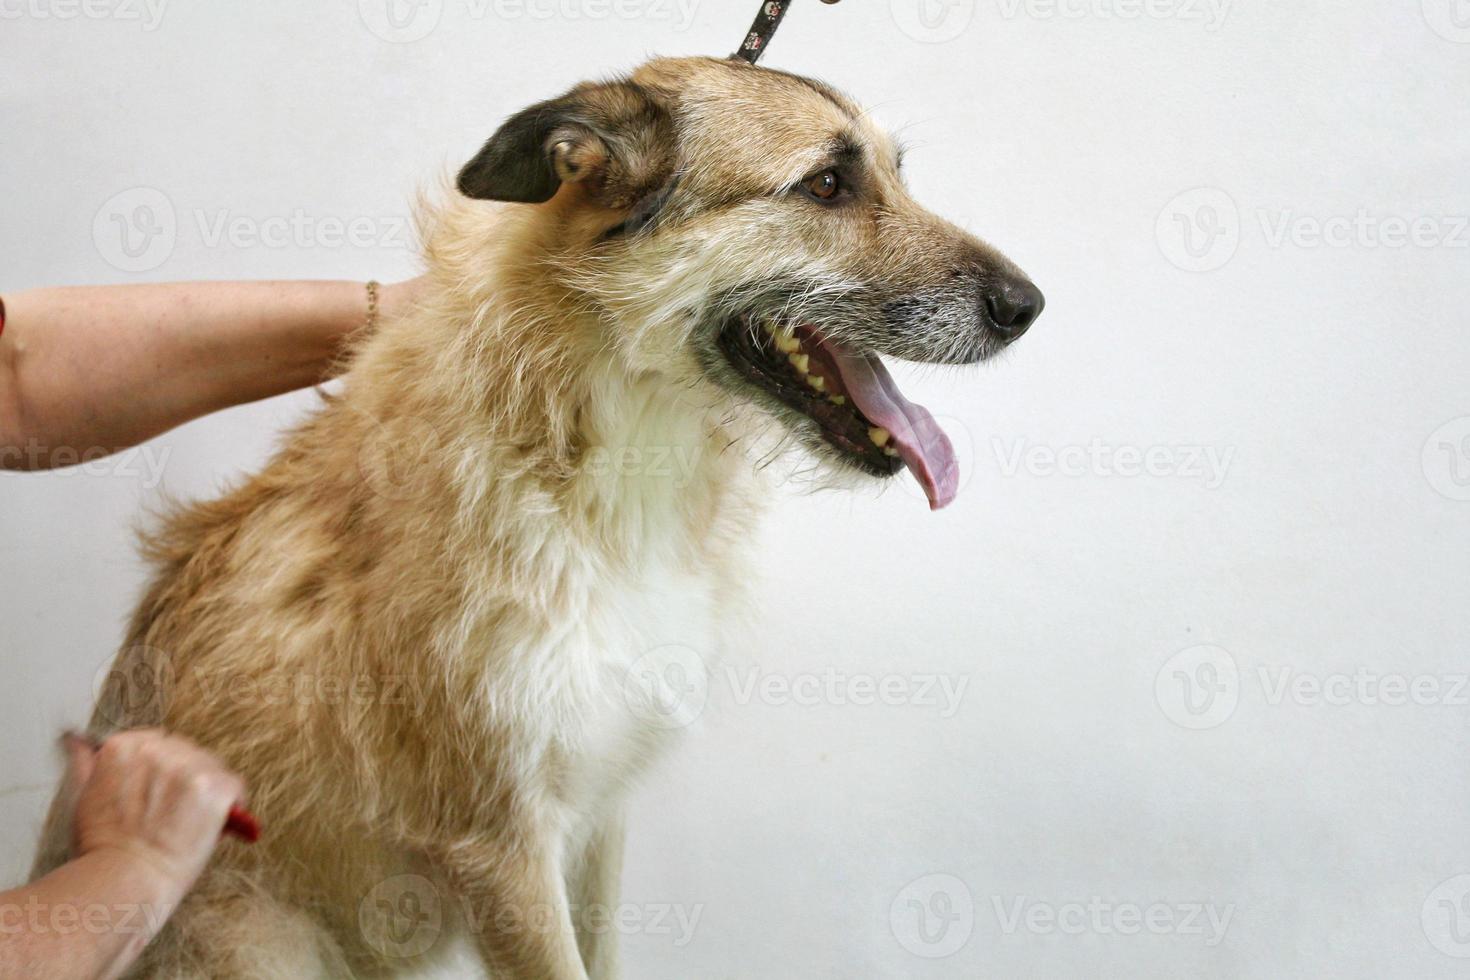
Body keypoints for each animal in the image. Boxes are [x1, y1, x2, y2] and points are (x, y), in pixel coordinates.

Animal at [34, 55, 1046, 980]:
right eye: (827, 184)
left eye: (898, 173)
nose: (1028, 307)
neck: (613, 462)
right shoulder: (501, 847)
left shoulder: (599, 811)